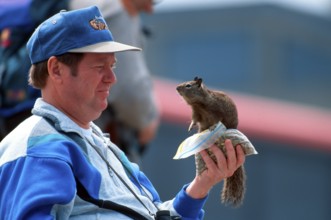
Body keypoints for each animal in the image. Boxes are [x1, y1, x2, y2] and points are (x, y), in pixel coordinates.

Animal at [176, 76, 246, 207]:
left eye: (188, 85)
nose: (177, 88)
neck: (198, 103)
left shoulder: (216, 111)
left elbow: (217, 120)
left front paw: (213, 127)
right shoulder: (196, 113)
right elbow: (194, 120)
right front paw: (190, 127)